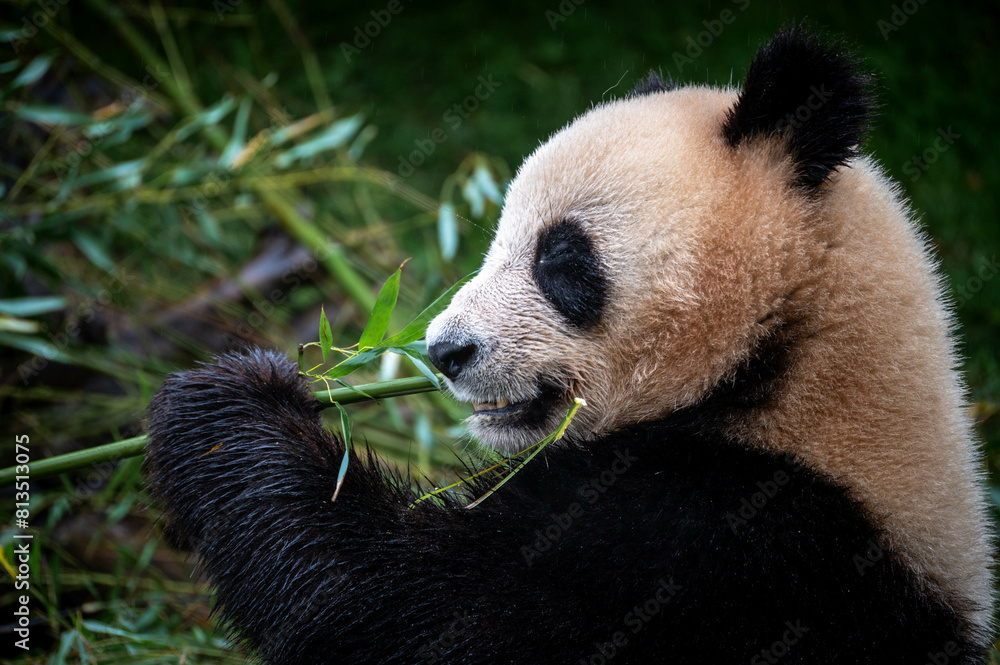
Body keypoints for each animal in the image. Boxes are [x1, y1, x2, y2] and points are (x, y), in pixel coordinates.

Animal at [145, 28, 995, 665]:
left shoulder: (743, 552)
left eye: (561, 258)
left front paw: (224, 410)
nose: (444, 351)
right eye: (496, 234)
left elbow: (429, 611)